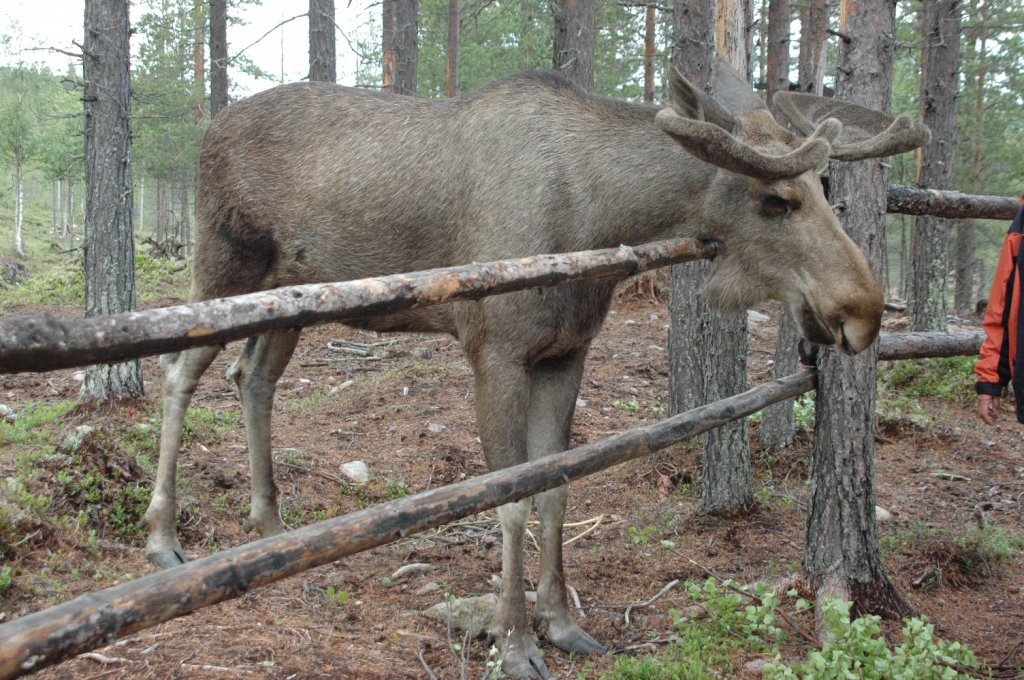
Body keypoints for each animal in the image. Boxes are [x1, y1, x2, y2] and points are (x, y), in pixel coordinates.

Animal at [146, 61, 929, 675]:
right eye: (776, 199)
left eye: (825, 187)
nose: (863, 309)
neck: (599, 220)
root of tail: (209, 130)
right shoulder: (494, 350)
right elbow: (510, 499)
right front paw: (516, 642)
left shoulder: (566, 353)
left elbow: (556, 487)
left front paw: (562, 622)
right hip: (223, 268)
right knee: (180, 374)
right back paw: (164, 539)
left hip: (291, 301)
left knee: (253, 378)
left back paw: (269, 523)